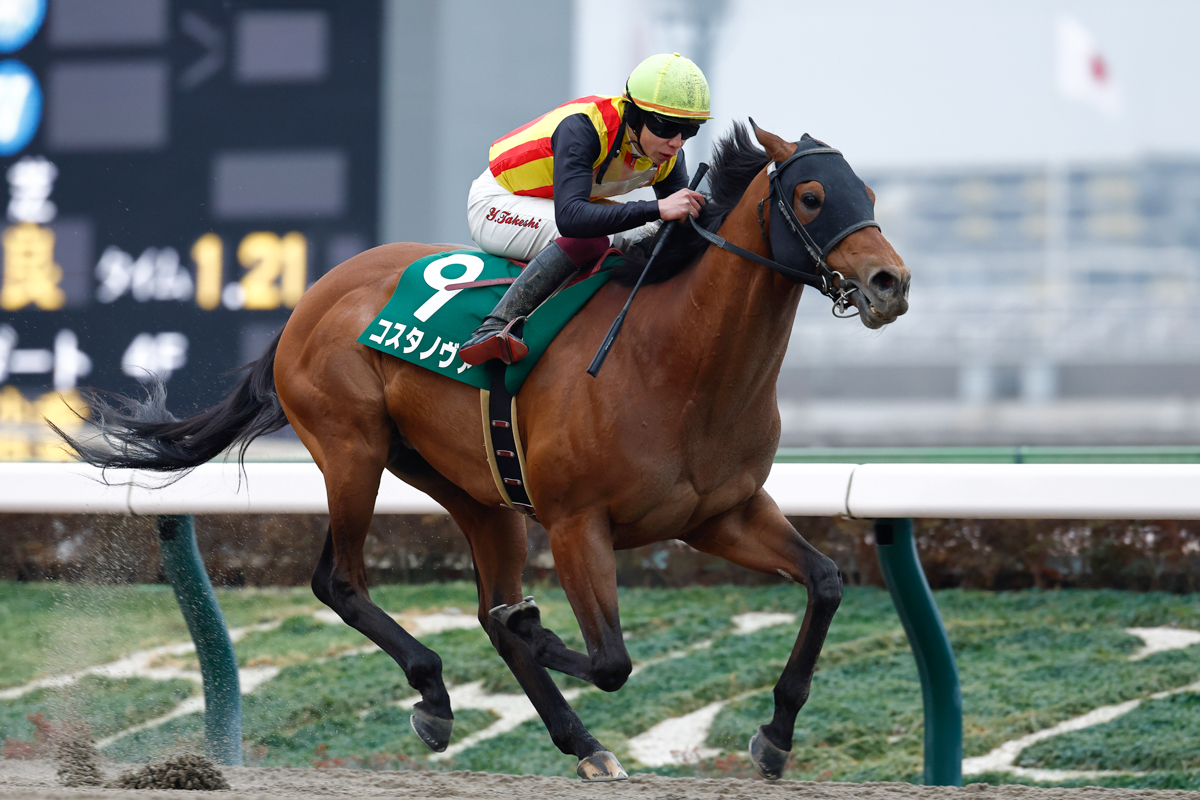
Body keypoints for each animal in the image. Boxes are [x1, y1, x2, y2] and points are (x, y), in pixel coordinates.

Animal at [54, 125, 902, 782]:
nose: (889, 282)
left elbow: (826, 584)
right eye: (813, 197)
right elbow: (610, 659)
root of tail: (311, 298)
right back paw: (438, 695)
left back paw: (579, 741)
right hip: (352, 449)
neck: (677, 362)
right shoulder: (577, 523)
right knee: (341, 580)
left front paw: (776, 737)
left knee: (473, 599)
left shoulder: (720, 514)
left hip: (472, 489)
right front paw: (539, 632)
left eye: (866, 191)